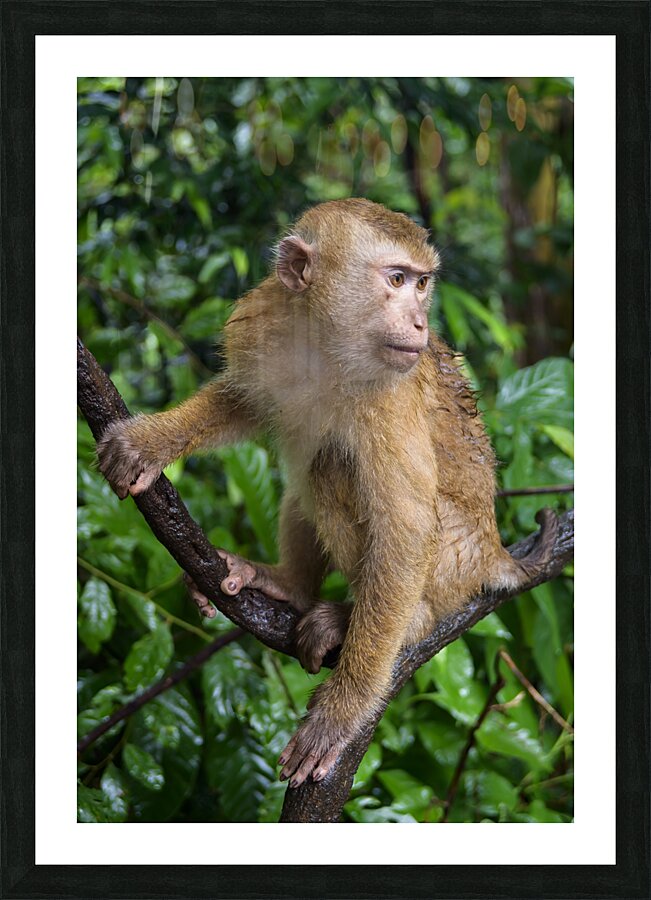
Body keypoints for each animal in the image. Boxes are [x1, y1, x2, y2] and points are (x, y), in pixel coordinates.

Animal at [97, 198, 558, 789]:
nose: (420, 321)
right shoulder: (264, 321)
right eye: (397, 279)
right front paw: (151, 442)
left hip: (454, 560)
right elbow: (242, 402)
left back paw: (400, 620)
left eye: (422, 284)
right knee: (305, 476)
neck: (327, 344)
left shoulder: (391, 394)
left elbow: (406, 527)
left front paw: (342, 712)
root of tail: (492, 547)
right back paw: (288, 585)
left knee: (331, 469)